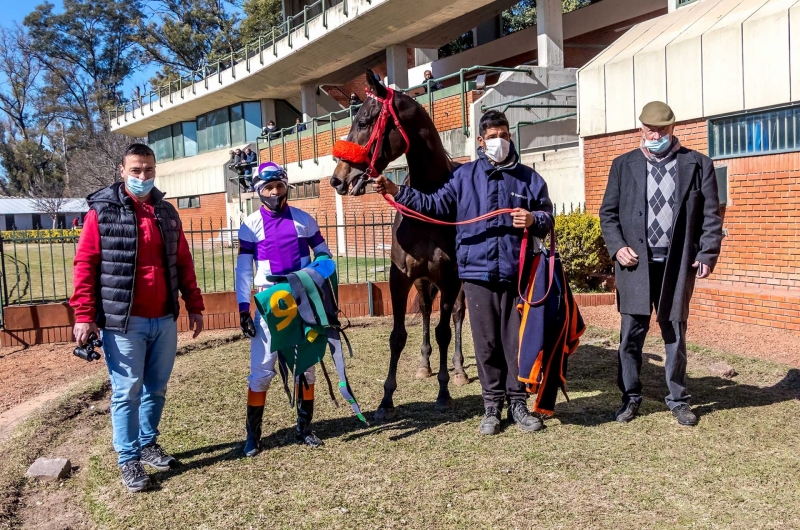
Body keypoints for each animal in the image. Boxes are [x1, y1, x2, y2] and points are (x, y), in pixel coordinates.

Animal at [376, 108, 552, 434]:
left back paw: (458, 370)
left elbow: (445, 331)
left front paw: (444, 393)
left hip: (457, 284)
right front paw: (386, 401)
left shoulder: (449, 278)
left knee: (457, 316)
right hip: (423, 282)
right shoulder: (401, 277)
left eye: (366, 122)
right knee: (425, 311)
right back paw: (424, 366)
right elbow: (398, 335)